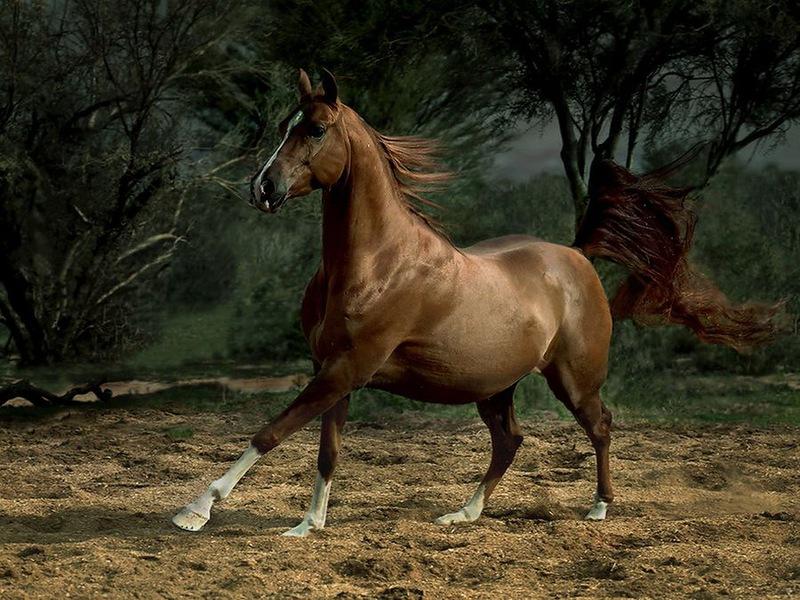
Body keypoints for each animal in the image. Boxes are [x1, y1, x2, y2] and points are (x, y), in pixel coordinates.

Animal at [172, 69, 616, 536]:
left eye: (316, 129)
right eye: (282, 127)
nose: (263, 187)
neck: (377, 264)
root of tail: (577, 255)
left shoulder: (345, 369)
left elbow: (270, 433)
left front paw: (196, 510)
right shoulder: (330, 369)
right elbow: (328, 452)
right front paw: (309, 524)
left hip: (573, 381)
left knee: (600, 426)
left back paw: (599, 507)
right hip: (495, 389)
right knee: (509, 440)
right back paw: (463, 513)